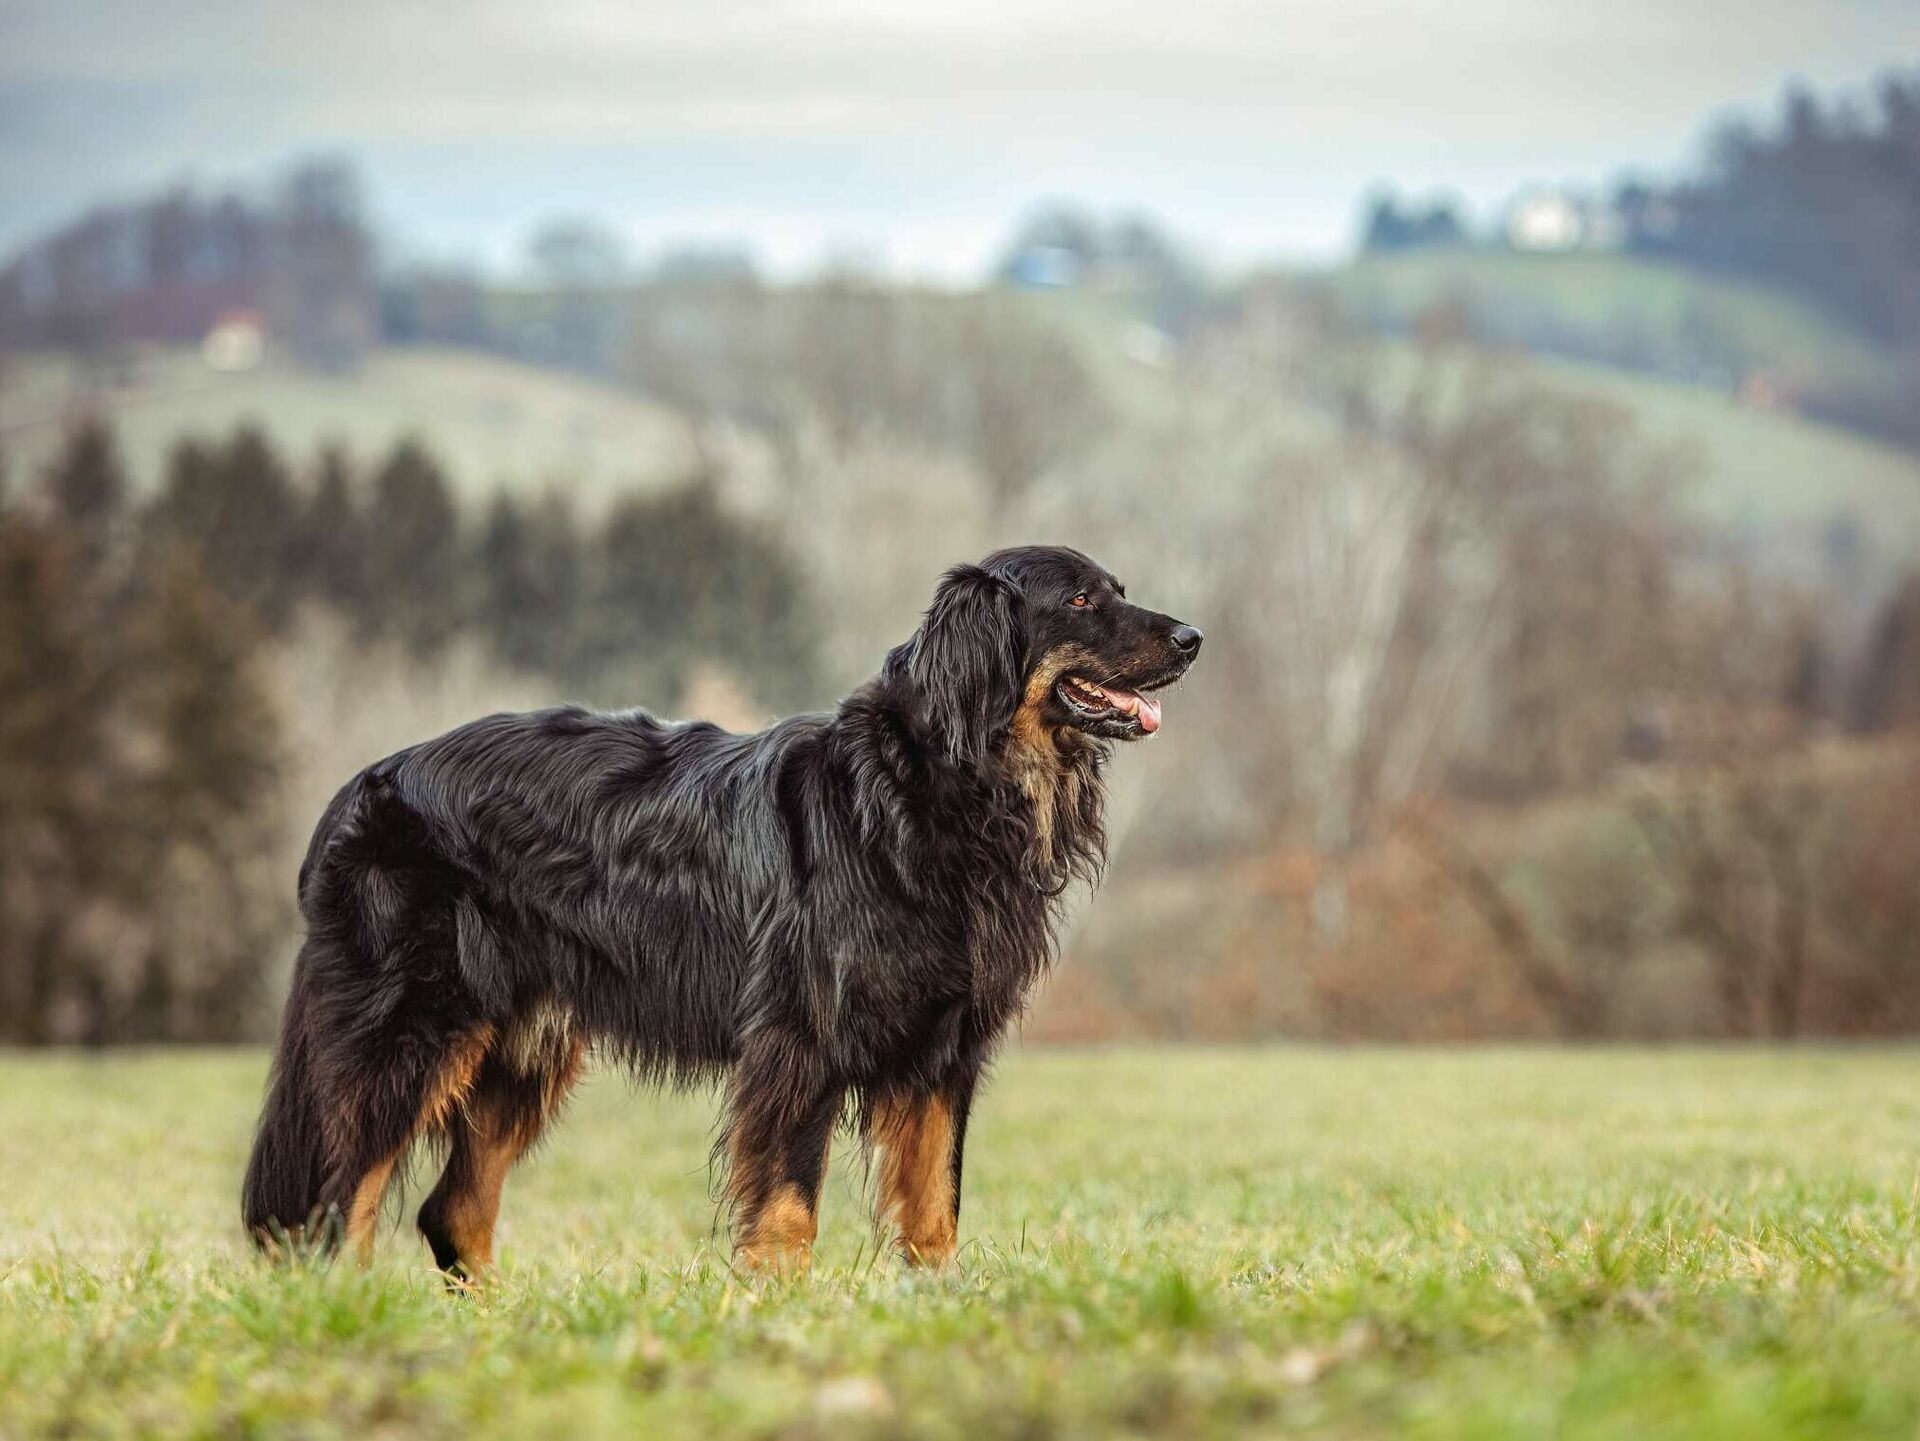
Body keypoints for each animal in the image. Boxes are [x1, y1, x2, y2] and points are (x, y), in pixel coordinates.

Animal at [240, 541, 1198, 1274]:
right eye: (1081, 599)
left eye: (1117, 589)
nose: (1194, 636)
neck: (929, 786)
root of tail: (358, 786)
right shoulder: (800, 1040)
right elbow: (787, 1207)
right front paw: (781, 1313)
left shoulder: (943, 1046)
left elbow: (935, 1208)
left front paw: (937, 1308)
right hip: (408, 1028)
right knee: (338, 1201)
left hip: (522, 1044)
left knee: (452, 1210)